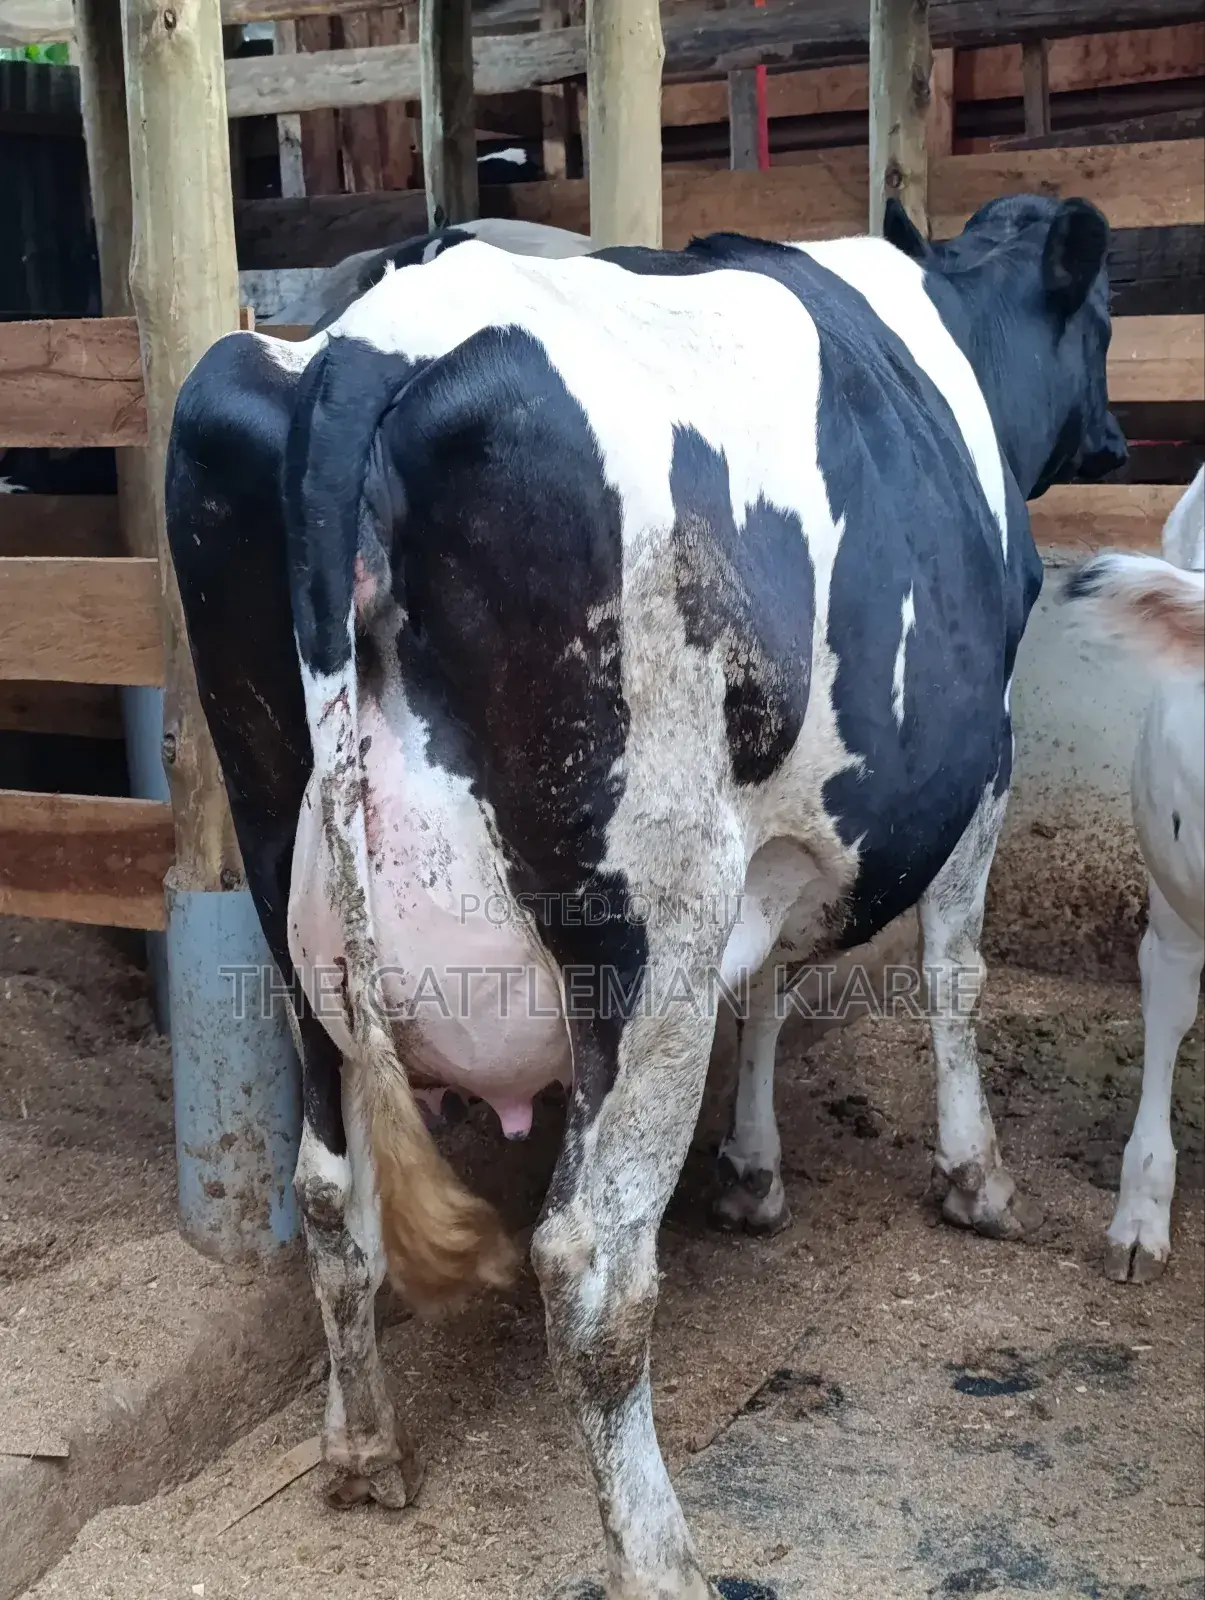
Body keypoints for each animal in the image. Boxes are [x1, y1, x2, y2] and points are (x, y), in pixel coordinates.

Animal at [165, 194, 1126, 1599]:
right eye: (1103, 320)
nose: (1113, 436)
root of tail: (360, 354)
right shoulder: (984, 759)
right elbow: (951, 972)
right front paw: (974, 1179)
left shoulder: (773, 838)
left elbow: (773, 982)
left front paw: (752, 1173)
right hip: (647, 922)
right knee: (590, 1263)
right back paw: (662, 1556)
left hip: (280, 885)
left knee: (332, 1190)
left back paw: (361, 1449)